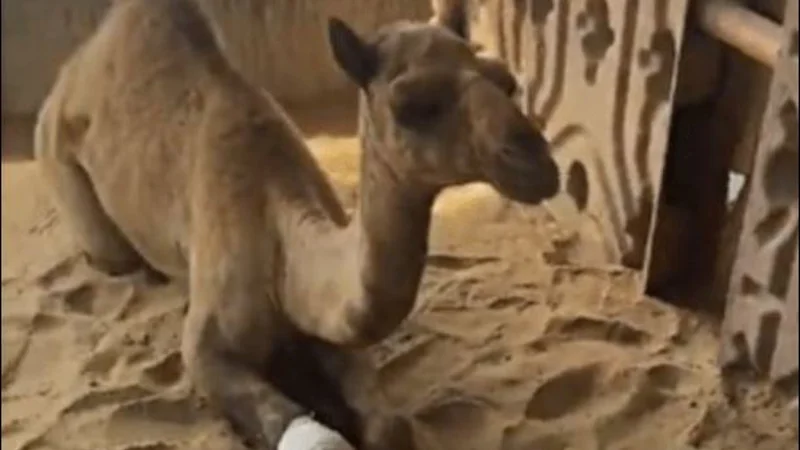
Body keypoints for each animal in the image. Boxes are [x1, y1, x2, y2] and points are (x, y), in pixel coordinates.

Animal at [33, 0, 560, 448]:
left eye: (506, 81)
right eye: (411, 106)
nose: (536, 162)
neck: (280, 245)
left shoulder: (335, 331)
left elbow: (388, 424)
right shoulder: (205, 349)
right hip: (60, 162)